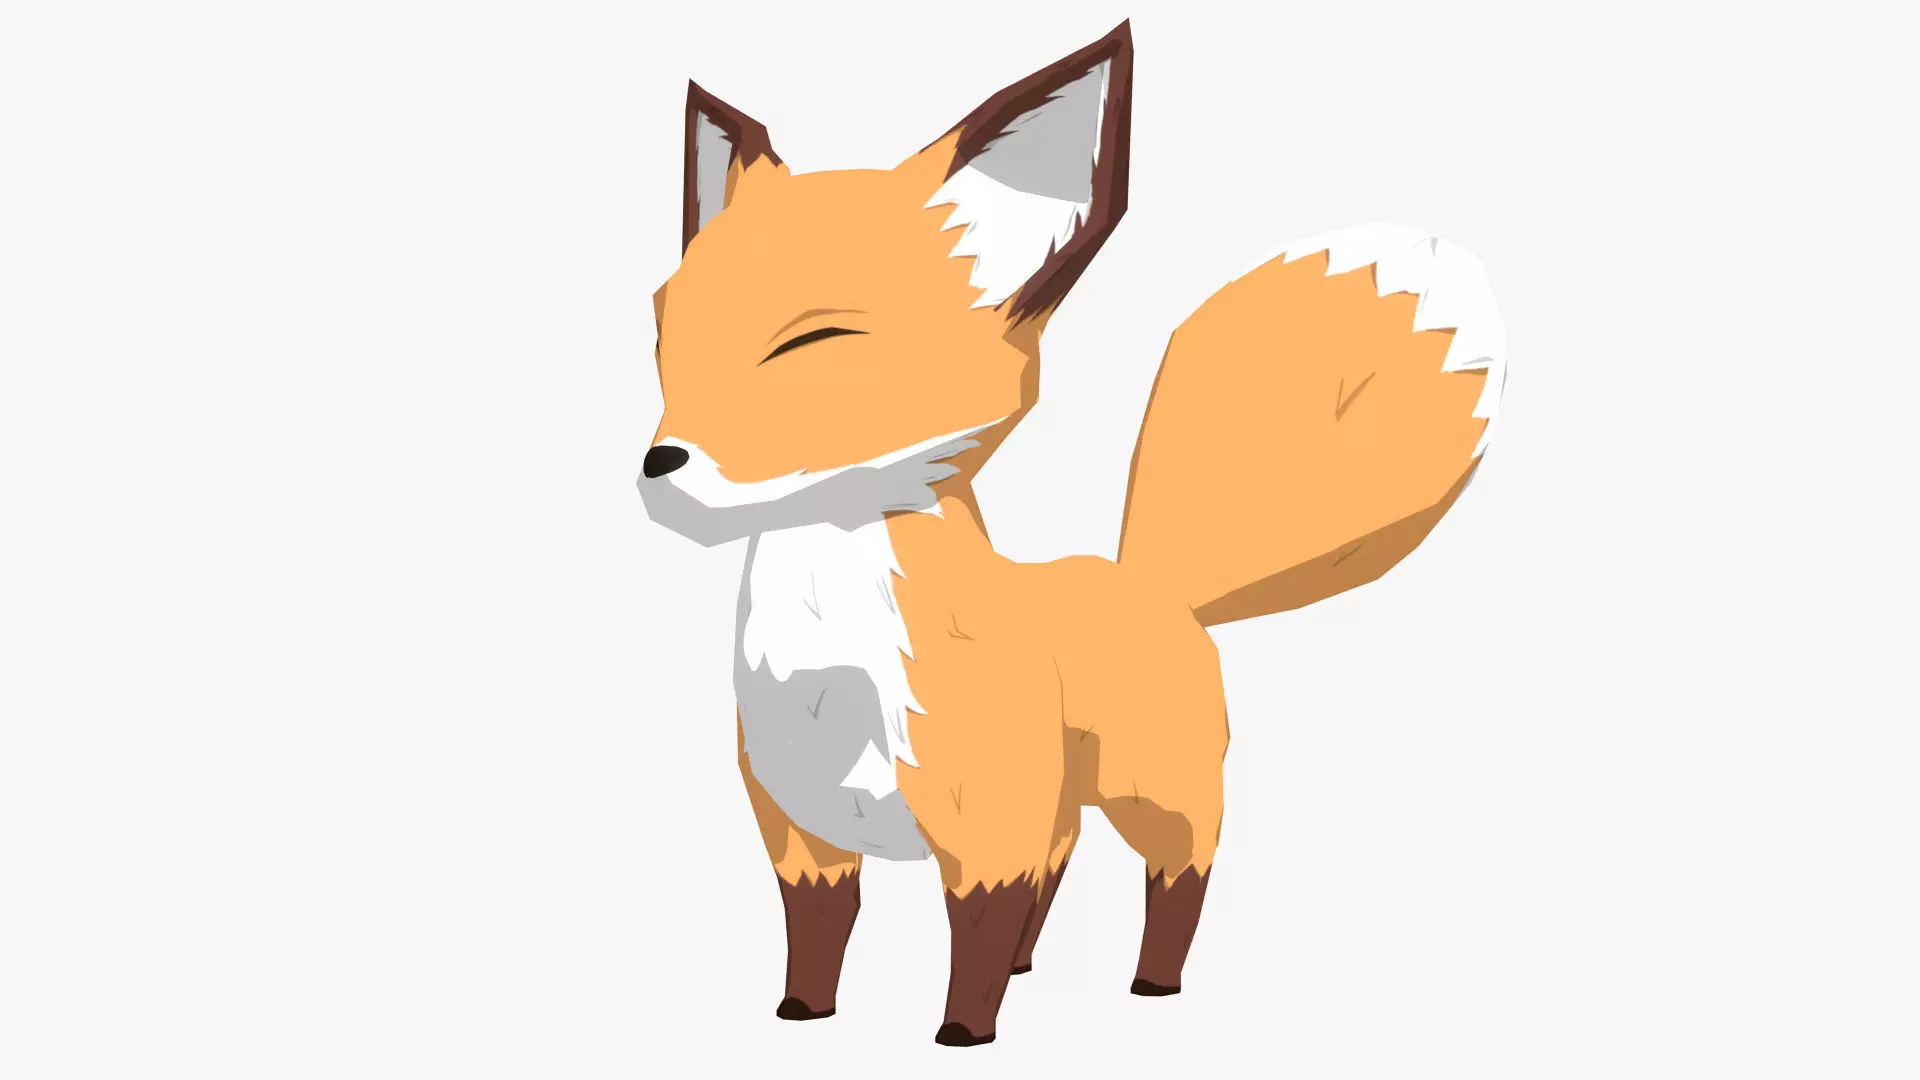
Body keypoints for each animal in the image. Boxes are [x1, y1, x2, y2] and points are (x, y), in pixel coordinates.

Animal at [636, 21, 1507, 1047]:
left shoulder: (986, 832)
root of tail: (1149, 582)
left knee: (1179, 880)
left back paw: (1153, 984)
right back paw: (1033, 965)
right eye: (665, 339)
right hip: (1066, 803)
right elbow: (818, 938)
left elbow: (972, 941)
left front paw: (964, 1035)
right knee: (1061, 867)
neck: (827, 677)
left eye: (814, 345)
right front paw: (802, 1015)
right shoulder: (801, 837)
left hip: (1156, 797)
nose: (660, 466)